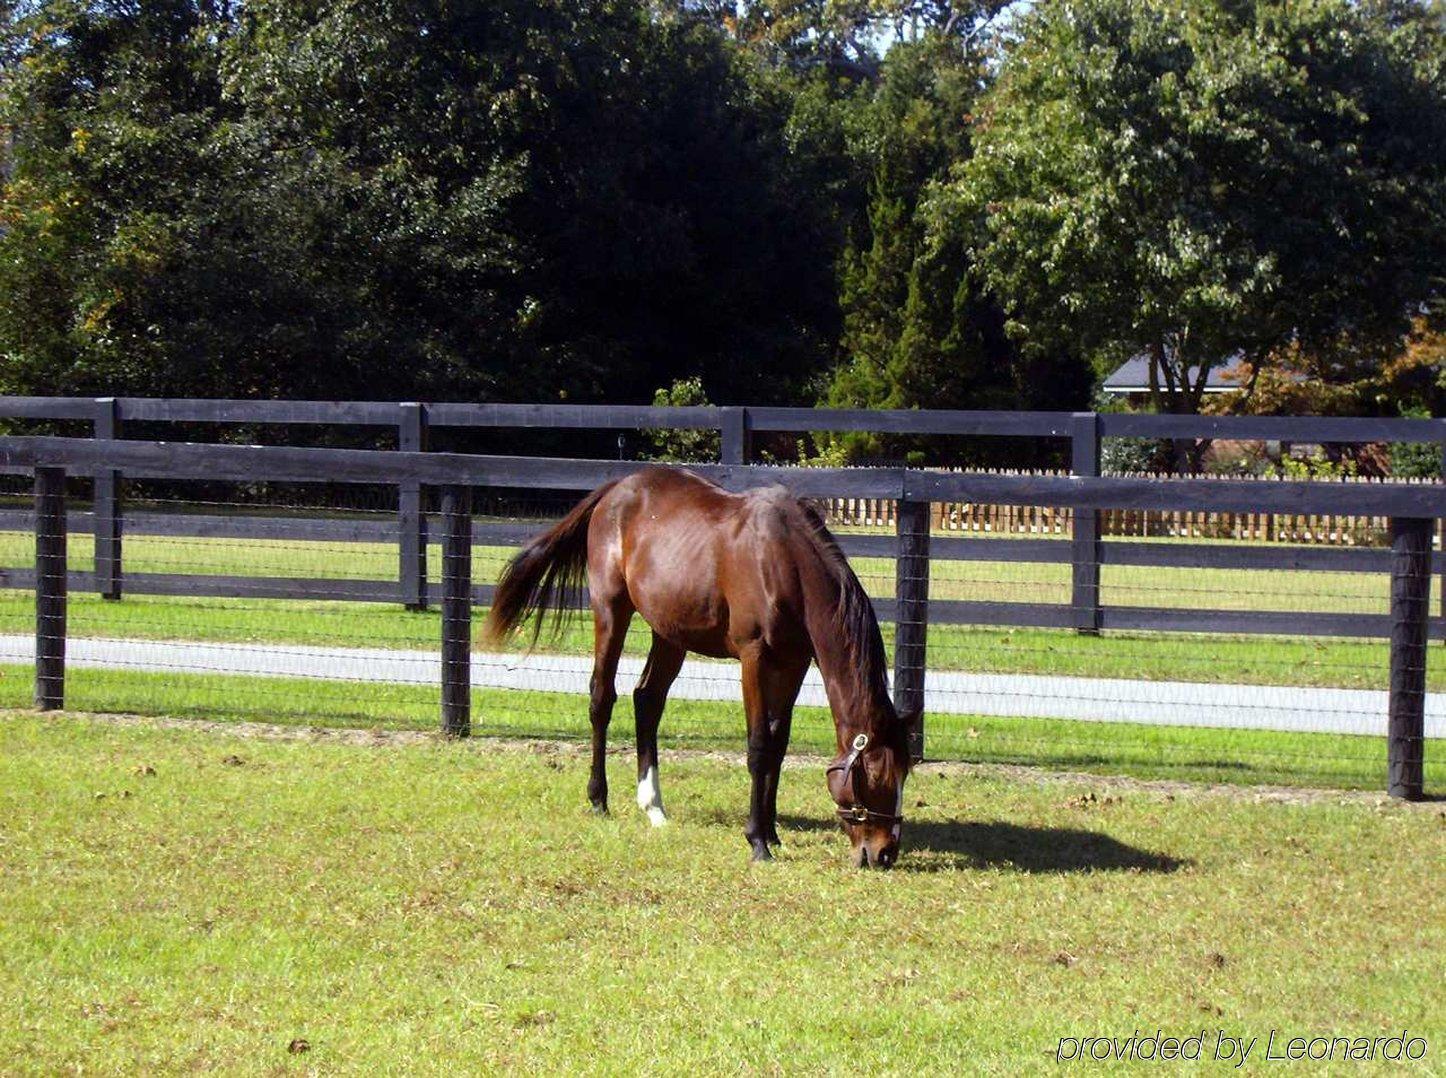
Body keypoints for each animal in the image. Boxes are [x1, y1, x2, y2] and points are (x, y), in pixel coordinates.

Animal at [485, 465, 913, 867]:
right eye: (876, 776)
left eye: (905, 773)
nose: (884, 853)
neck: (784, 562)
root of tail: (617, 488)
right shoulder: (754, 658)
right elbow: (759, 746)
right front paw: (757, 841)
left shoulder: (794, 662)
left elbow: (778, 743)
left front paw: (772, 832)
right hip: (610, 610)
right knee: (602, 698)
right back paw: (599, 800)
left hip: (670, 633)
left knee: (648, 700)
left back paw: (653, 807)